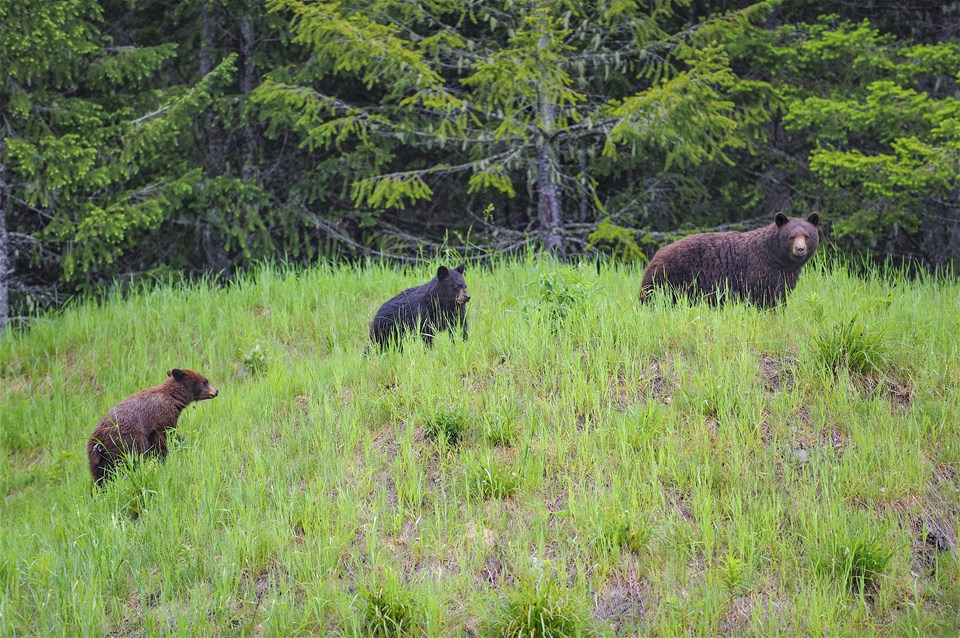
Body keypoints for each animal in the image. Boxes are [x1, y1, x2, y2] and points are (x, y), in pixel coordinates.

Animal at [87, 368, 218, 488]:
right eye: (205, 381)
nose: (216, 391)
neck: (173, 397)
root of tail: (98, 440)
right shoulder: (161, 419)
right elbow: (162, 441)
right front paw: (164, 459)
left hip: (96, 458)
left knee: (100, 476)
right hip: (126, 440)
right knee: (134, 458)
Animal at [640, 212, 820, 308]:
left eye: (807, 236)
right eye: (791, 237)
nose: (800, 249)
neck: (777, 259)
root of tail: (657, 255)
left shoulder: (785, 275)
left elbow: (780, 294)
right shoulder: (758, 268)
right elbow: (763, 295)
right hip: (669, 279)